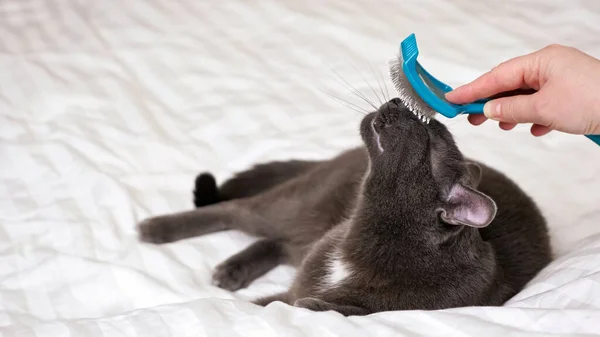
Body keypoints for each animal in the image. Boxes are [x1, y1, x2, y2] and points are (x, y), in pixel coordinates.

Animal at [136, 97, 552, 316]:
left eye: (431, 135)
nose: (398, 100)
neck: (361, 232)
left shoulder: (313, 299)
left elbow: (290, 305)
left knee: (277, 242)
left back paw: (230, 271)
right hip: (297, 203)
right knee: (237, 210)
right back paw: (156, 229)